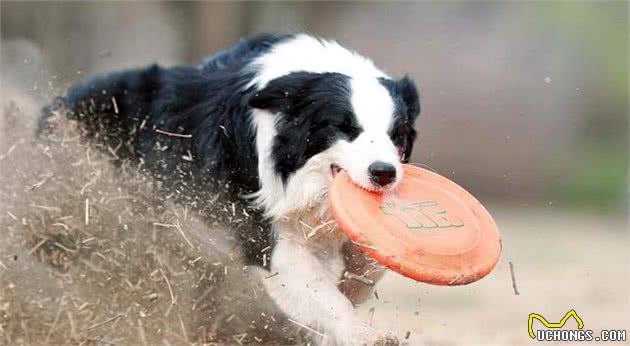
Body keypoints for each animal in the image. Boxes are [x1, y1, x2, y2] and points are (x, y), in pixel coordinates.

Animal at [42, 33, 422, 344]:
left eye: (397, 134)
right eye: (344, 127)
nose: (384, 173)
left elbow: (366, 265)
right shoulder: (266, 228)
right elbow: (319, 289)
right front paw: (362, 334)